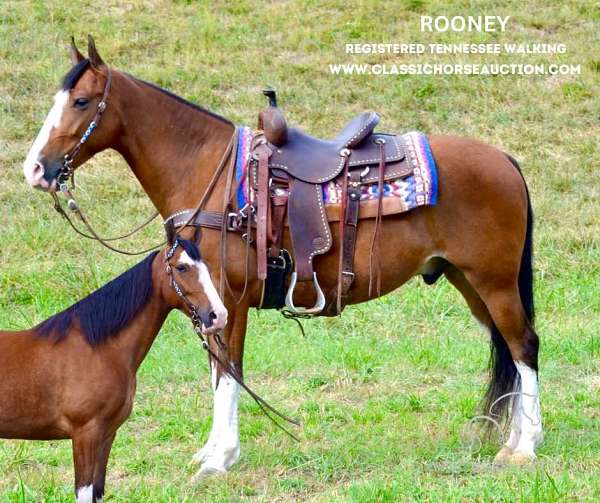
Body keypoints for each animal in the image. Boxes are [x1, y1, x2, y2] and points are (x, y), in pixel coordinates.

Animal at [0, 228, 227, 503]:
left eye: (207, 267)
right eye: (182, 267)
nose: (219, 316)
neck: (99, 349)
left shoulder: (107, 435)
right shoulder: (85, 435)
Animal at [21, 36, 540, 480]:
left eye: (81, 101)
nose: (35, 169)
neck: (208, 171)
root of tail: (505, 161)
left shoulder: (227, 299)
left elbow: (229, 369)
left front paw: (220, 458)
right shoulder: (207, 301)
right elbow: (218, 370)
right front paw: (213, 451)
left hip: (493, 281)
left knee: (524, 346)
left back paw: (524, 447)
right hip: (469, 282)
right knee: (509, 350)